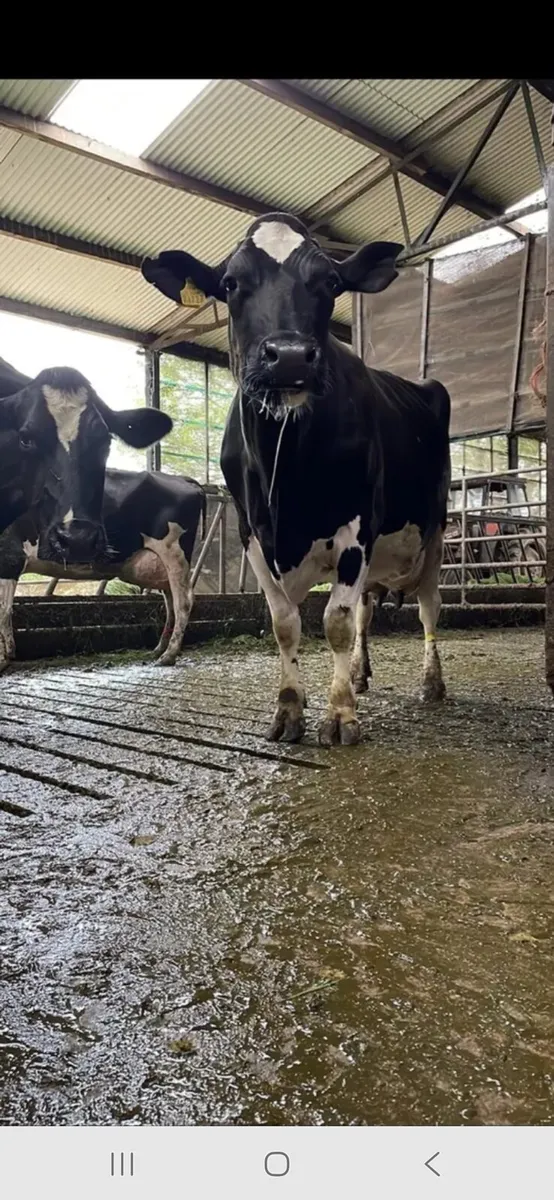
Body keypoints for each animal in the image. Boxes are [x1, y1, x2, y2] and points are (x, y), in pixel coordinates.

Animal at [142, 212, 451, 746]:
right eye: (230, 283)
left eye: (330, 282)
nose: (287, 355)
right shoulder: (252, 531)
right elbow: (285, 623)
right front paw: (290, 708)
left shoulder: (356, 529)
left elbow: (336, 623)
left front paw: (340, 715)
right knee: (369, 608)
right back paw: (361, 675)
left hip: (434, 533)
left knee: (428, 608)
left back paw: (431, 684)